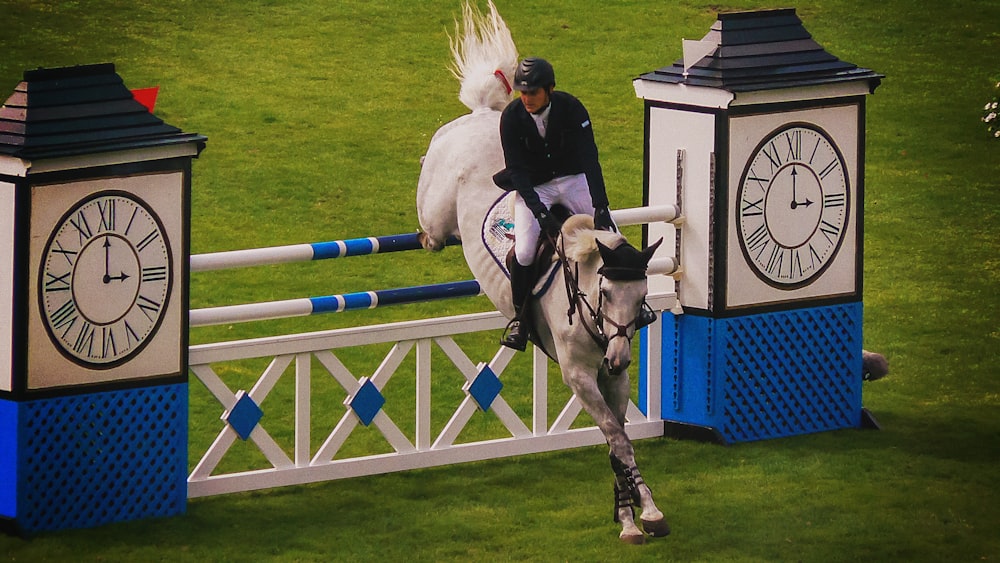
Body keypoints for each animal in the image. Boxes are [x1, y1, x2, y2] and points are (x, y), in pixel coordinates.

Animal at [414, 2, 672, 544]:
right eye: (604, 292)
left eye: (640, 296)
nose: (619, 356)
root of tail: (485, 116)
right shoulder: (578, 375)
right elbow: (618, 439)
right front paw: (644, 514)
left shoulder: (612, 379)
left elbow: (616, 439)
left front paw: (630, 514)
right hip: (438, 207)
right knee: (431, 226)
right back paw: (429, 232)